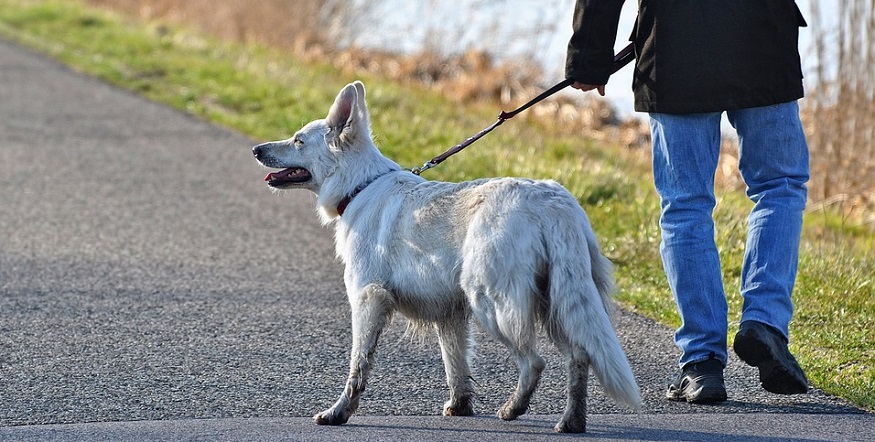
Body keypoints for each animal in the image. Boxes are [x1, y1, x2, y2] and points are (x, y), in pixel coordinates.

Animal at [250, 81, 640, 434]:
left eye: (299, 140)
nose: (255, 149)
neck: (360, 186)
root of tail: (551, 201)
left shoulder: (367, 300)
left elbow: (358, 367)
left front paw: (339, 413)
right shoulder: (449, 314)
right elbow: (456, 367)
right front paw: (460, 407)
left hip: (493, 304)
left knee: (534, 362)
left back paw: (513, 409)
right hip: (557, 303)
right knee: (579, 356)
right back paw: (571, 422)